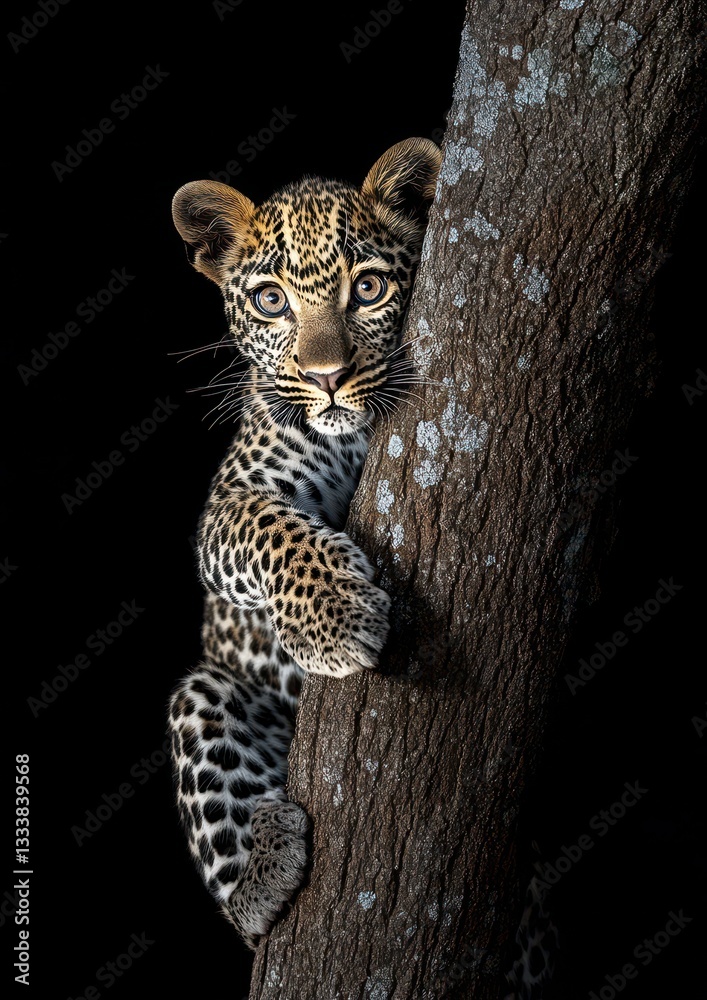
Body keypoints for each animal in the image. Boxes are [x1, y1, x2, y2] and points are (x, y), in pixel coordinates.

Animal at [167, 137, 557, 997]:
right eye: (271, 301)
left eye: (369, 288)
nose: (325, 377)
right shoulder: (233, 501)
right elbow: (265, 530)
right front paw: (336, 619)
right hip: (205, 693)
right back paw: (264, 867)